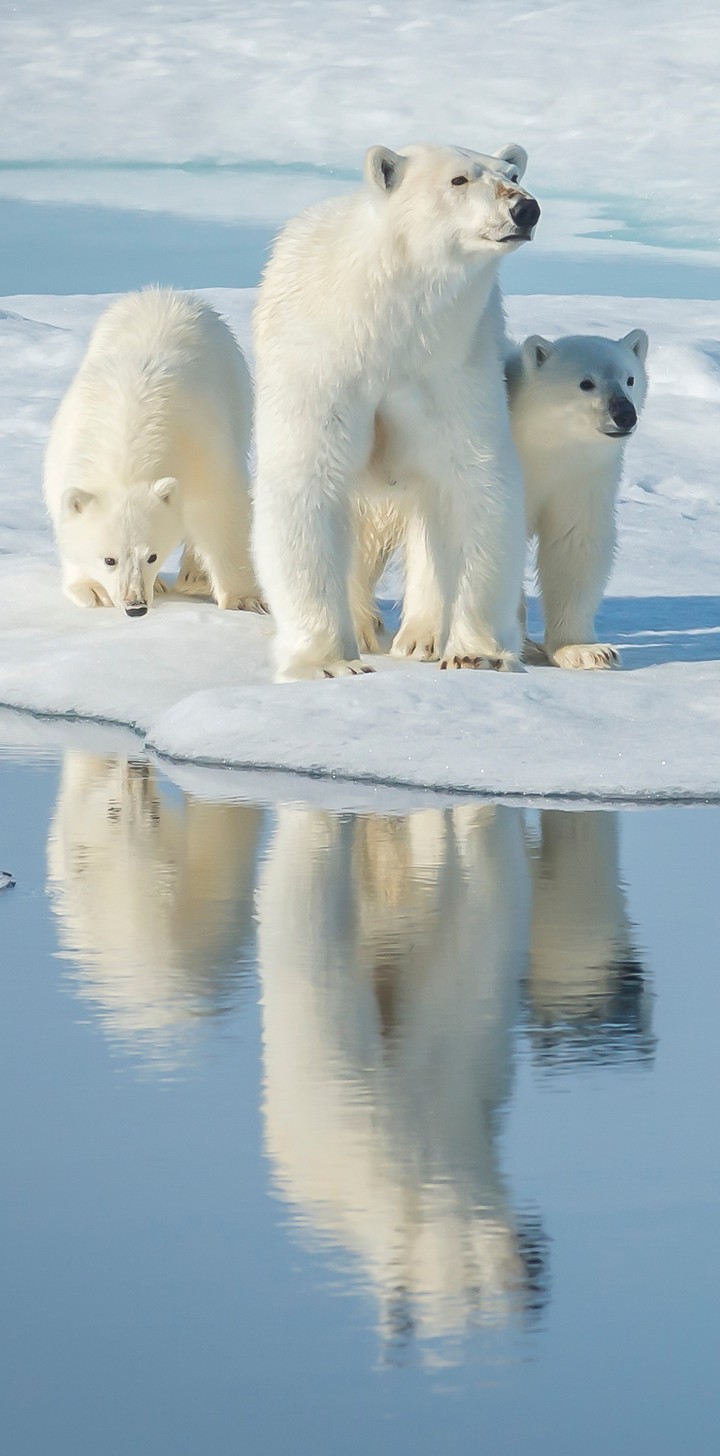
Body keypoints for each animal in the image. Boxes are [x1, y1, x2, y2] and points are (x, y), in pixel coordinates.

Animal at [43, 287, 265, 617]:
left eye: (152, 556)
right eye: (109, 559)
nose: (135, 606)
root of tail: (163, 293)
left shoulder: (200, 445)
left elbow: (221, 509)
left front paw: (244, 599)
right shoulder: (68, 447)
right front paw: (92, 589)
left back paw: (194, 575)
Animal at [251, 142, 540, 681]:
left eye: (513, 174)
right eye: (459, 179)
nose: (524, 209)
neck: (388, 322)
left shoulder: (452, 366)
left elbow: (475, 482)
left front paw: (477, 652)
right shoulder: (322, 362)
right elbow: (309, 482)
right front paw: (329, 662)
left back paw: (420, 636)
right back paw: (365, 628)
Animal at [354, 328, 649, 670]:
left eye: (630, 379)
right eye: (585, 382)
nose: (624, 414)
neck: (540, 449)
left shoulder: (580, 478)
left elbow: (574, 546)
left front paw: (587, 650)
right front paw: (423, 640)